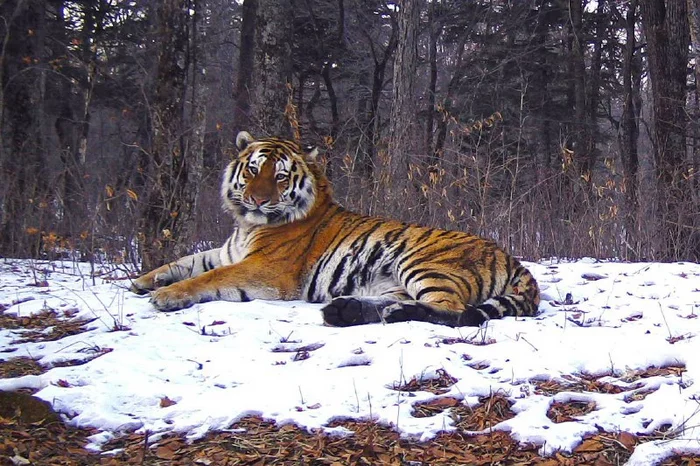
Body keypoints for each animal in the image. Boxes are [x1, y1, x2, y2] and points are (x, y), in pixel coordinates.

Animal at [129, 131, 540, 328]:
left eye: (280, 177)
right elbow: (189, 260)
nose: (257, 200)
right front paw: (144, 280)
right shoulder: (227, 250)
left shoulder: (266, 269)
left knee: (453, 311)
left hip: (424, 263)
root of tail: (513, 259)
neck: (248, 225)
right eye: (253, 169)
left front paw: (167, 296)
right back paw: (347, 311)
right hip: (394, 281)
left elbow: (209, 277)